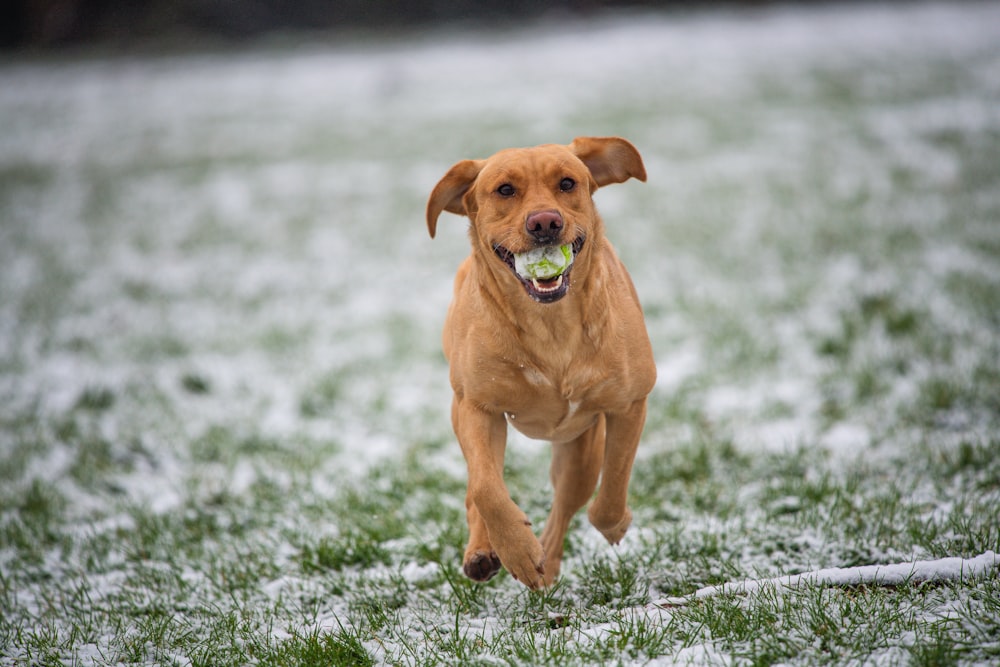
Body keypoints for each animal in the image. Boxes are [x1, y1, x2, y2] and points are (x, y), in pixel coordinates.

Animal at [428, 136, 656, 588]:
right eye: (504, 190)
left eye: (567, 183)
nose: (545, 222)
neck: (549, 326)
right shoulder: (476, 407)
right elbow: (486, 489)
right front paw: (516, 550)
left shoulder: (629, 404)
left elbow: (611, 487)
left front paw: (615, 524)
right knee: (477, 485)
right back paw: (484, 552)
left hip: (580, 447)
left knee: (569, 500)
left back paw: (546, 559)